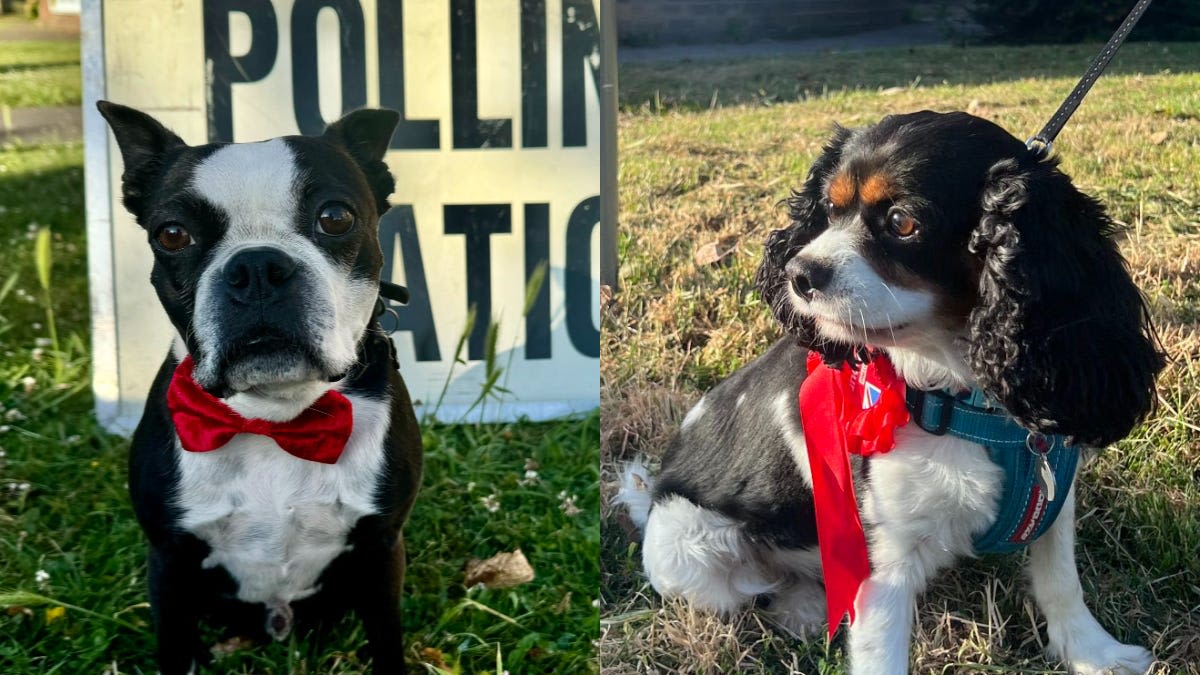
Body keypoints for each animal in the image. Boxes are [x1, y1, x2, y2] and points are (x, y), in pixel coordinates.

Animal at [99, 100, 427, 672]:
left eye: (335, 217)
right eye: (171, 235)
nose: (255, 266)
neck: (275, 418)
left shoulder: (382, 548)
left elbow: (386, 638)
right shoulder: (168, 559)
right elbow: (173, 645)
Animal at [624, 111, 1166, 672]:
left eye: (902, 222)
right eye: (828, 210)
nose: (798, 272)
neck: (963, 395)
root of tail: (655, 488)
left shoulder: (1055, 495)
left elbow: (1062, 582)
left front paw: (1095, 653)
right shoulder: (884, 559)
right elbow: (881, 650)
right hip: (685, 548)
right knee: (753, 588)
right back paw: (807, 606)